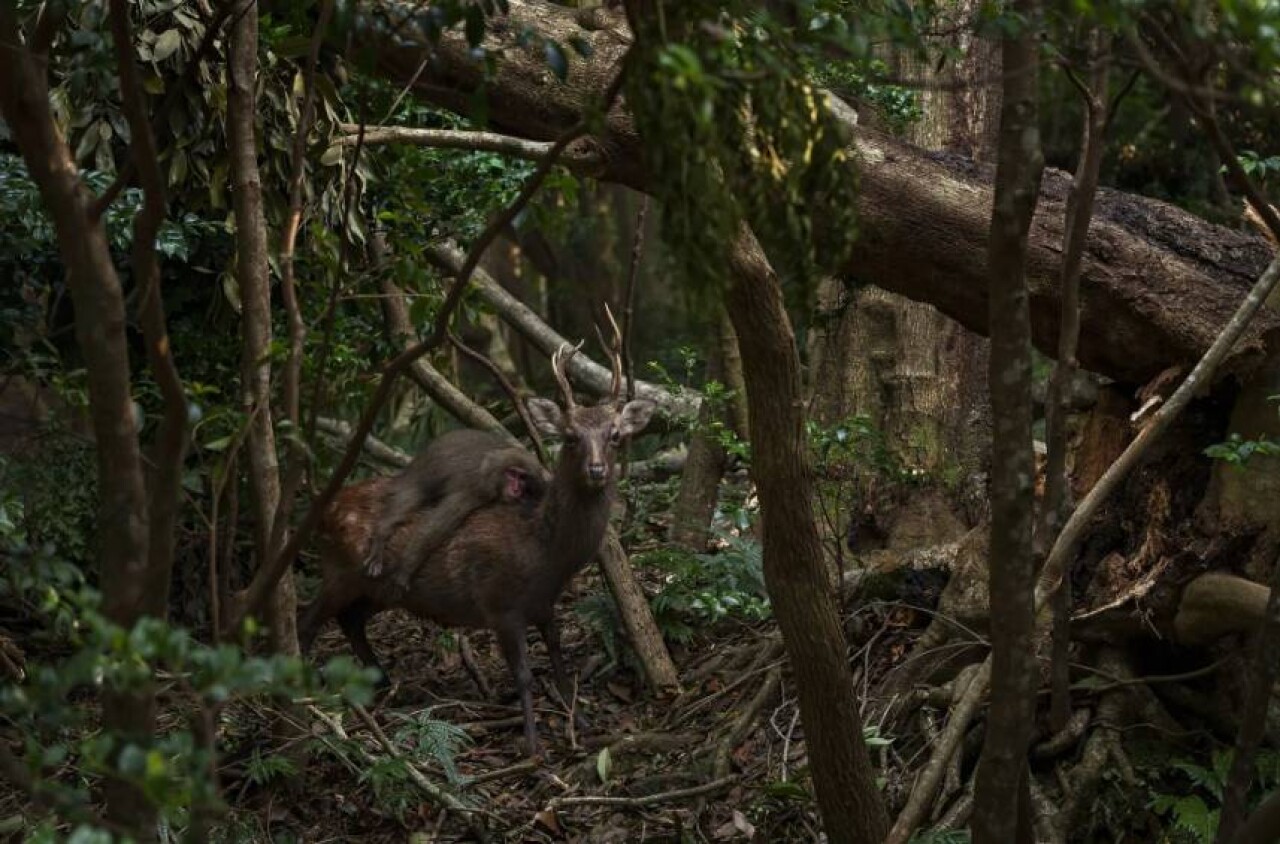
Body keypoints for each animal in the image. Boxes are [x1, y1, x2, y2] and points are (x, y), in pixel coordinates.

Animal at [363, 430, 547, 594]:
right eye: (512, 473)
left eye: (522, 477)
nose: (516, 489)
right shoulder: (475, 488)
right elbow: (435, 528)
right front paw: (406, 567)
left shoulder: (539, 486)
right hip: (421, 472)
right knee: (411, 494)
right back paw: (382, 531)